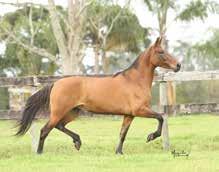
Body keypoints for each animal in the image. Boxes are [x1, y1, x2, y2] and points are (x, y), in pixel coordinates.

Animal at [15, 37, 181, 154]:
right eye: (161, 52)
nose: (178, 66)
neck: (135, 81)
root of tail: (56, 84)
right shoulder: (140, 110)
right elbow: (160, 117)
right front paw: (151, 136)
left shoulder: (129, 115)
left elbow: (123, 133)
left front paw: (119, 152)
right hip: (59, 112)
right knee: (45, 130)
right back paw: (40, 152)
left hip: (73, 112)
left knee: (59, 126)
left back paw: (77, 142)